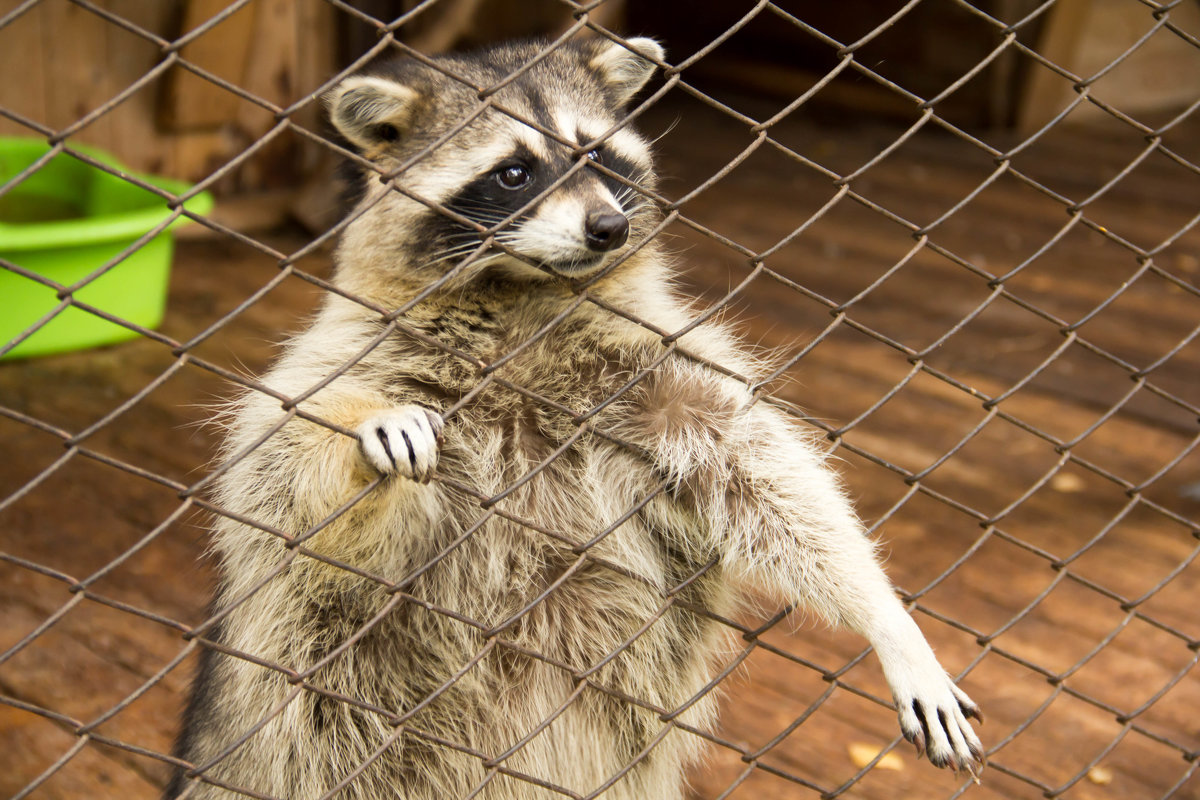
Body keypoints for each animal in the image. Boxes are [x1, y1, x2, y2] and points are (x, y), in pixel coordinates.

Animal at [169, 34, 988, 796]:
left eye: (596, 153)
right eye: (514, 172)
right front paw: (361, 437)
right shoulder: (350, 350)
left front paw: (887, 619)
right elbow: (283, 481)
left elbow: (764, 472)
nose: (607, 229)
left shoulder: (654, 365)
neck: (521, 293)